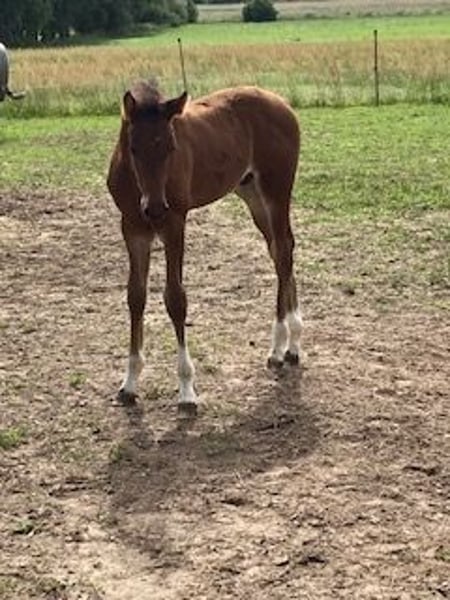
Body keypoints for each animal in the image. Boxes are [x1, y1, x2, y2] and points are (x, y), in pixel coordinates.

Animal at [107, 80, 302, 414]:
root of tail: (281, 103)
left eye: (171, 148)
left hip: (276, 190)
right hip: (251, 193)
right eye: (133, 148)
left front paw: (187, 390)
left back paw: (284, 346)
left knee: (284, 253)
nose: (155, 208)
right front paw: (129, 384)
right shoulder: (132, 228)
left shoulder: (174, 224)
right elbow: (135, 297)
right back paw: (286, 345)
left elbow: (175, 299)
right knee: (280, 250)